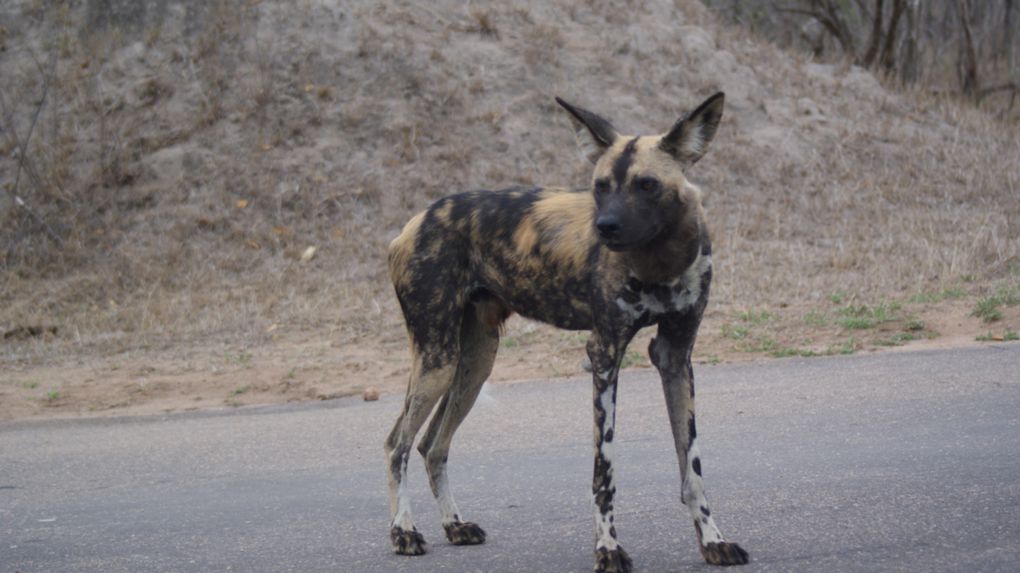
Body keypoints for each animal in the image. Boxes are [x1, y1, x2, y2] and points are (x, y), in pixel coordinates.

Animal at [383, 91, 750, 566]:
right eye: (600, 186)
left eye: (647, 185)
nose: (605, 227)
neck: (660, 262)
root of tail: (414, 222)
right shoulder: (605, 354)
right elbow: (604, 473)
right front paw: (608, 549)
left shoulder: (675, 356)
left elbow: (693, 469)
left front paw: (712, 541)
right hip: (437, 360)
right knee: (398, 444)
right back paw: (403, 532)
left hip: (474, 365)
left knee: (432, 445)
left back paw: (454, 525)